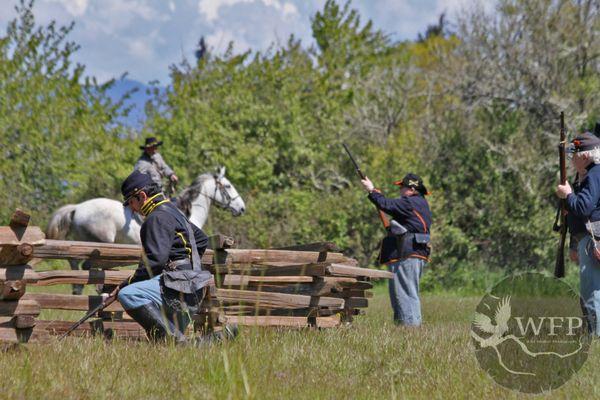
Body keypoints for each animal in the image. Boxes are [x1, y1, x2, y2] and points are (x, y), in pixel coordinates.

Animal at [47, 166, 244, 294]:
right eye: (228, 186)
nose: (241, 208)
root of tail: (76, 208)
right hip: (99, 244)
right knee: (87, 268)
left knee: (75, 266)